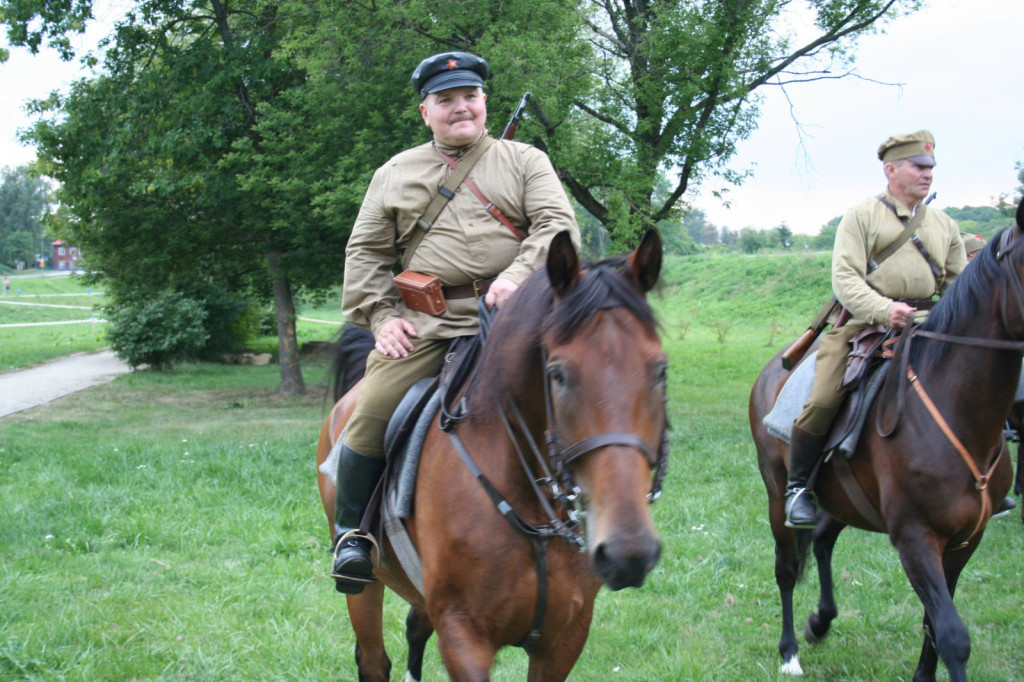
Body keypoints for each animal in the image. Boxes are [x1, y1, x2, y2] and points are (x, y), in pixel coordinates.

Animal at [315, 229, 667, 679]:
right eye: (557, 374)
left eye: (659, 370)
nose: (629, 551)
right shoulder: (463, 635)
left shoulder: (564, 640)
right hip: (366, 586)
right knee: (374, 658)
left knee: (415, 626)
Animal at [745, 202, 1024, 679]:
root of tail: (772, 370)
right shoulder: (915, 537)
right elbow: (952, 634)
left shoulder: (964, 539)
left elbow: (934, 622)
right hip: (777, 491)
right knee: (786, 567)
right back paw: (790, 651)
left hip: (844, 498)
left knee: (823, 539)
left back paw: (821, 622)